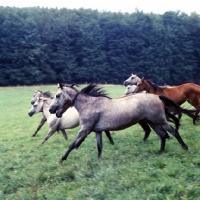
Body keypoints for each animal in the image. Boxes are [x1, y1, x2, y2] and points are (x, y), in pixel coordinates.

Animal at [47, 83, 193, 163]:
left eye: (58, 95)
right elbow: (99, 147)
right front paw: (99, 160)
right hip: (153, 122)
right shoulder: (97, 131)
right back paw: (160, 152)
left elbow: (72, 145)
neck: (90, 105)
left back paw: (185, 148)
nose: (51, 109)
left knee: (173, 131)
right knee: (162, 135)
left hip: (160, 121)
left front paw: (61, 160)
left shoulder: (85, 130)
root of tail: (157, 96)